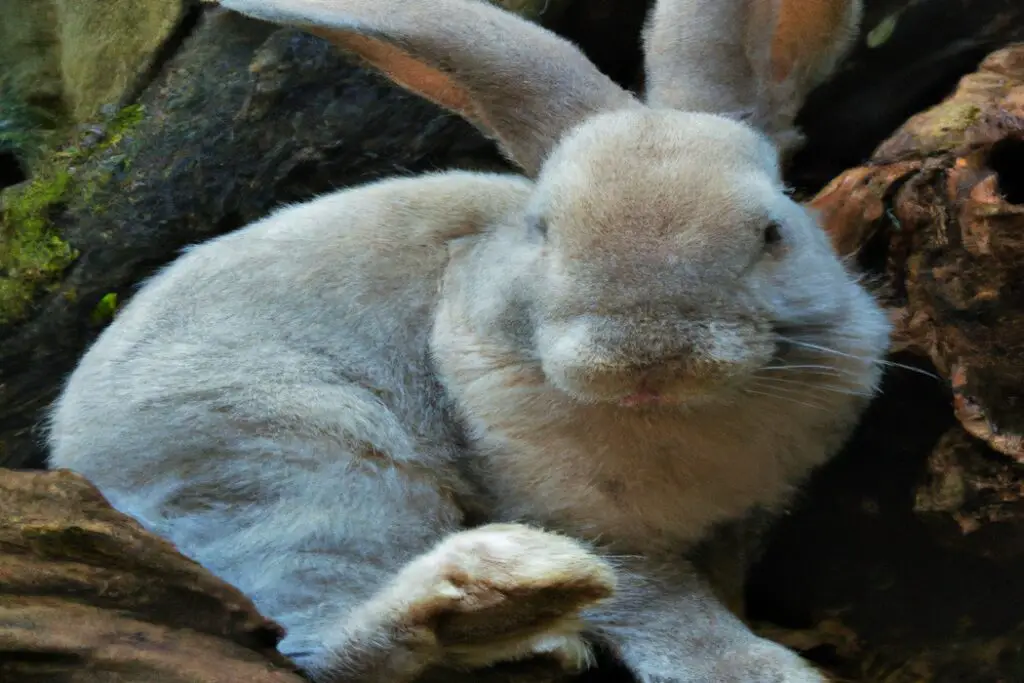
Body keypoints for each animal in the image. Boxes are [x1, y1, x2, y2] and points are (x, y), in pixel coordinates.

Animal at [45, 0, 890, 681]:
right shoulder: (580, 520)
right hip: (307, 471)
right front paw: (755, 668)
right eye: (544, 231)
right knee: (319, 641)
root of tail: (76, 461)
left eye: (772, 230)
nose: (645, 359)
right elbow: (664, 604)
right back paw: (508, 597)